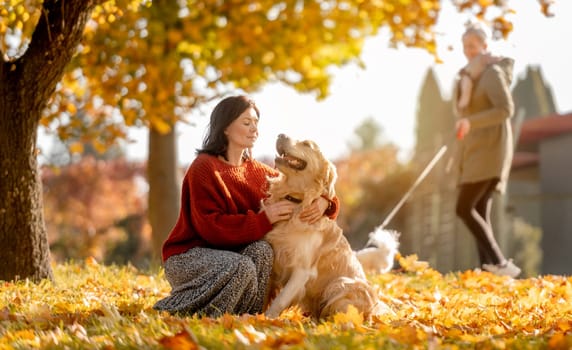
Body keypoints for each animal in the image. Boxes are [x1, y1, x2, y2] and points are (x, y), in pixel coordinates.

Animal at [264, 134, 394, 320]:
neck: (297, 201)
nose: (280, 135)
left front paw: (265, 319)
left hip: (341, 284)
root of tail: (374, 309)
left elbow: (281, 299)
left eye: (307, 144)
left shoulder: (302, 270)